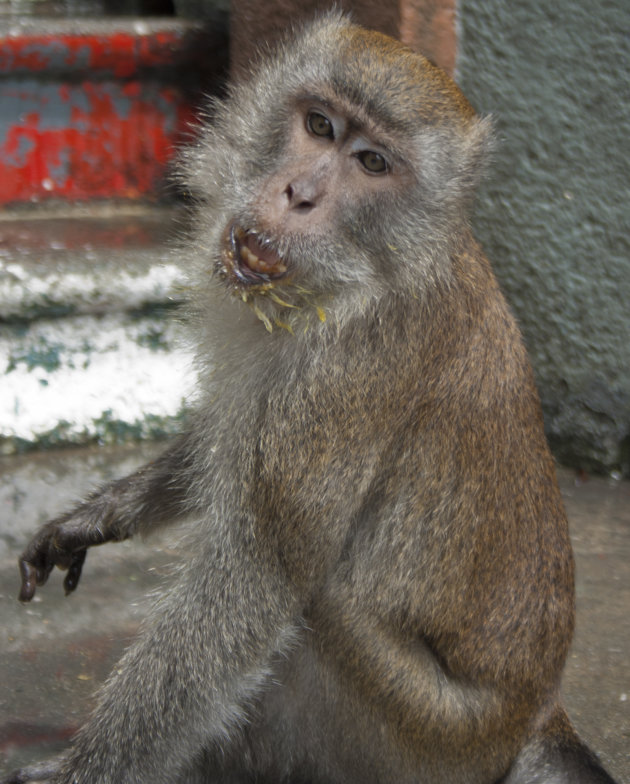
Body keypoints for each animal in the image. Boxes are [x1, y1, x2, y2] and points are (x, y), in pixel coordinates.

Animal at [2, 12, 620, 784]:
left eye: (373, 163)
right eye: (320, 125)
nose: (298, 193)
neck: (366, 271)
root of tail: (534, 720)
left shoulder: (344, 374)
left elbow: (255, 583)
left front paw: (84, 771)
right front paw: (97, 515)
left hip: (417, 730)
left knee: (320, 603)